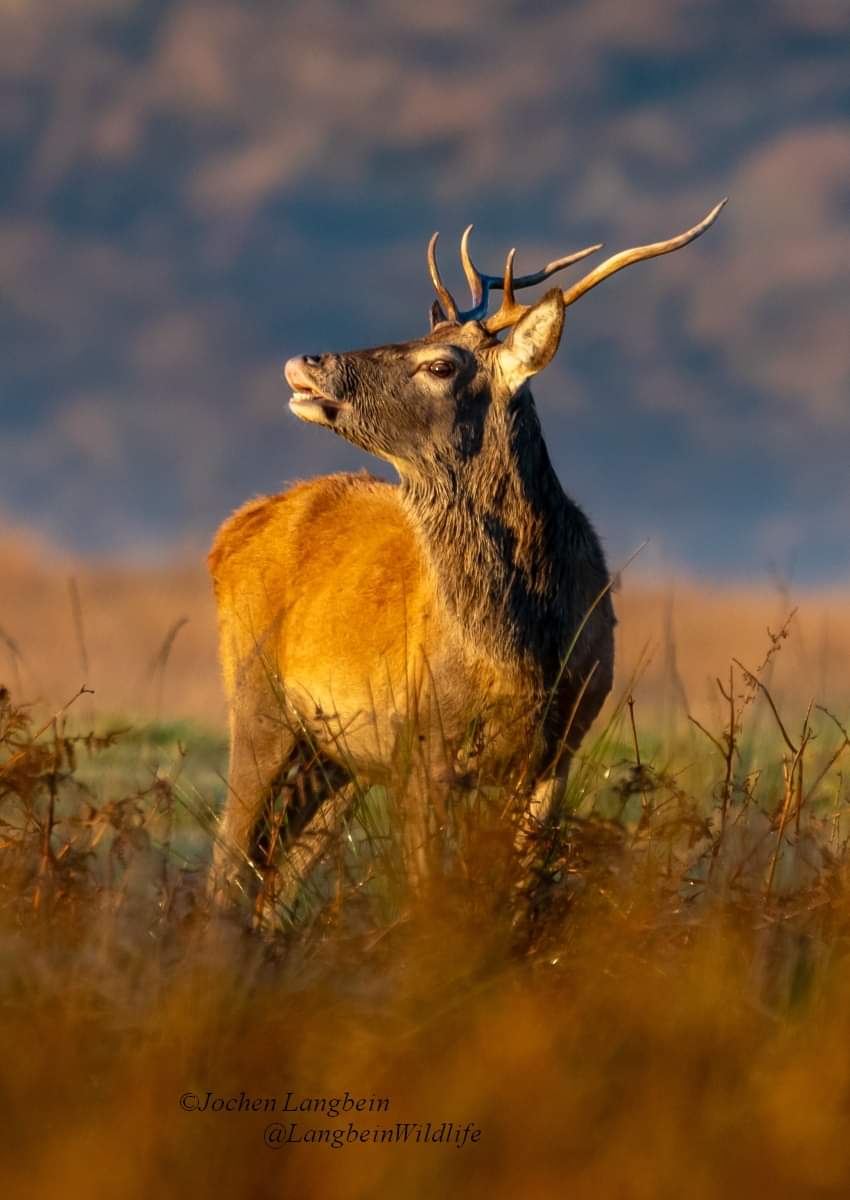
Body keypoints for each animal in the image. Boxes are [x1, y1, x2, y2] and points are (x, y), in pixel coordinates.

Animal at [208, 200, 726, 914]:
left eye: (440, 365)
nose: (306, 360)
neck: (521, 653)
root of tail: (230, 530)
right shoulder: (422, 741)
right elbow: (428, 892)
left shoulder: (561, 742)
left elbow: (523, 885)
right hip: (256, 698)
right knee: (227, 861)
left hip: (334, 755)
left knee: (272, 874)